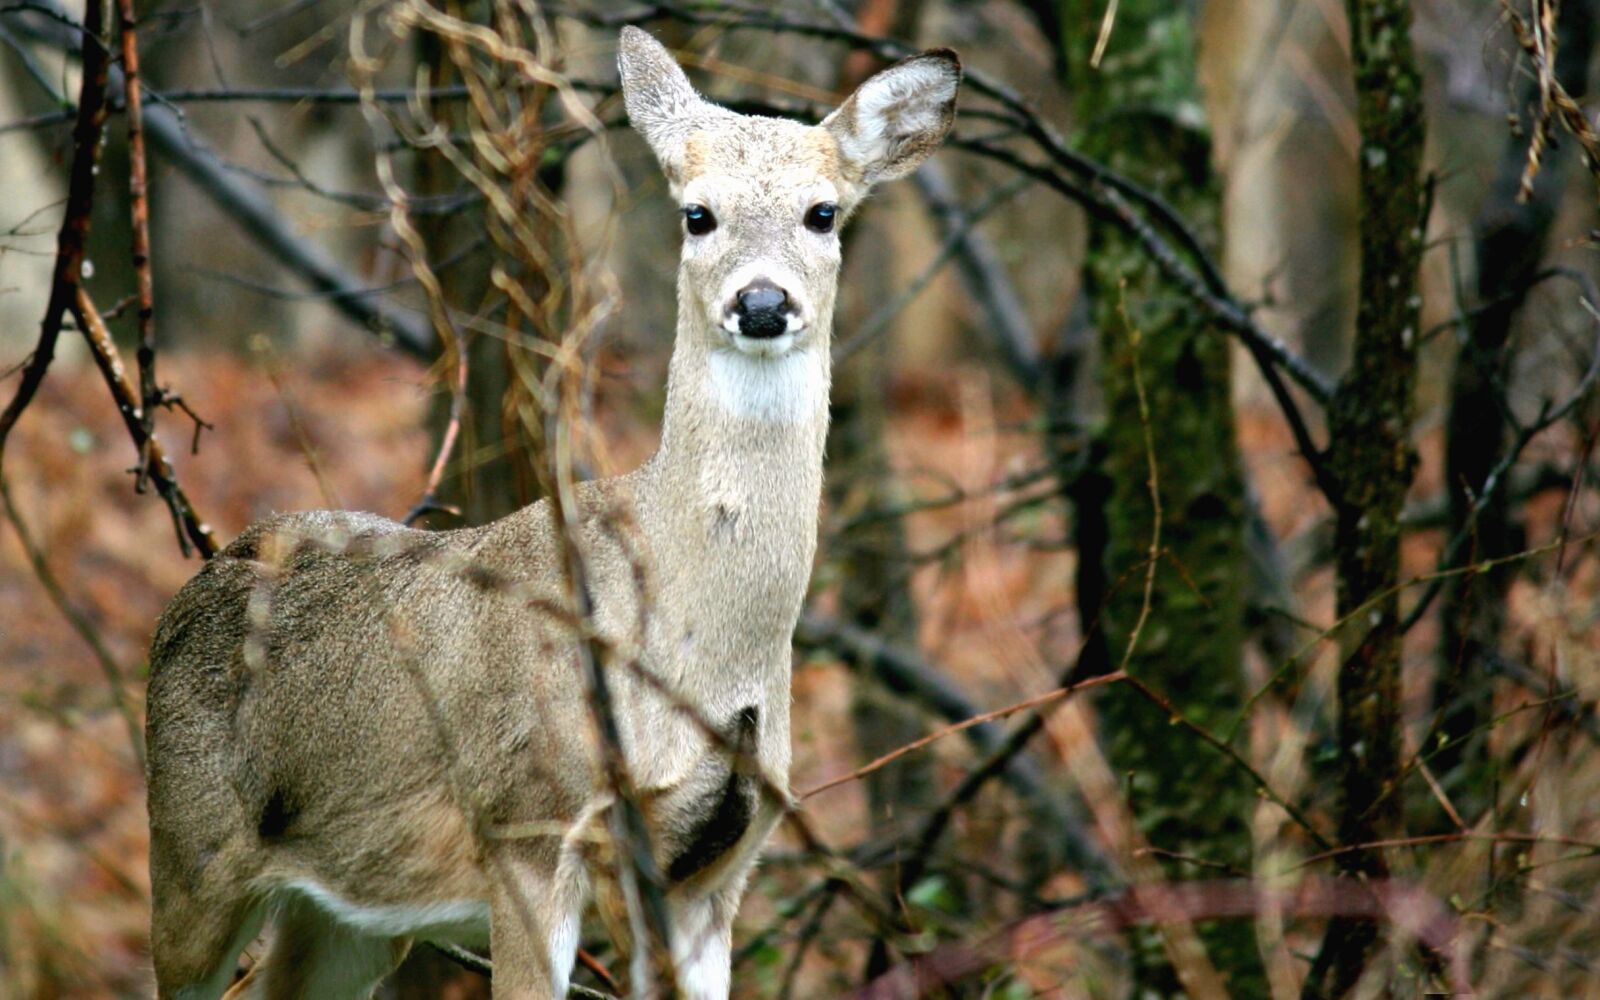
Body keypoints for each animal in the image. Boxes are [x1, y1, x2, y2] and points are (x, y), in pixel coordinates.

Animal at [144, 26, 959, 1000]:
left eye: (824, 213)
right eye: (697, 214)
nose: (762, 303)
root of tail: (203, 575)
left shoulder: (716, 871)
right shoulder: (528, 826)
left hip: (347, 912)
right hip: (189, 856)